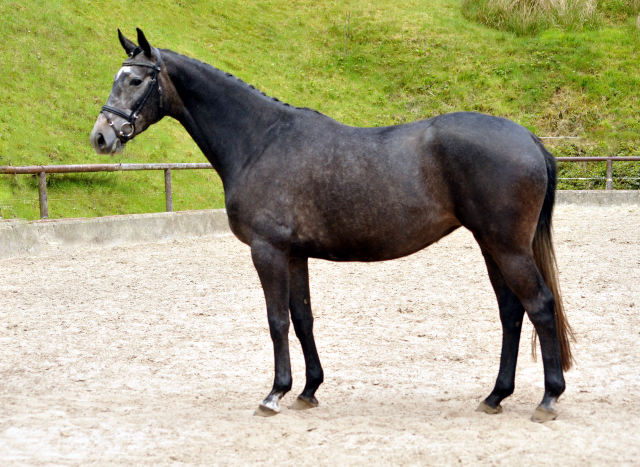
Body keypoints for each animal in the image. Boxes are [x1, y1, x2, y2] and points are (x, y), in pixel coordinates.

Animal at [90, 29, 576, 424]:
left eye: (135, 80)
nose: (100, 136)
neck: (261, 140)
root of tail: (529, 138)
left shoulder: (267, 250)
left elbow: (277, 320)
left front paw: (274, 394)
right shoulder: (294, 253)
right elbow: (302, 318)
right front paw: (308, 390)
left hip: (507, 247)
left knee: (539, 305)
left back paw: (548, 399)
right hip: (491, 245)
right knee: (511, 311)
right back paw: (495, 396)